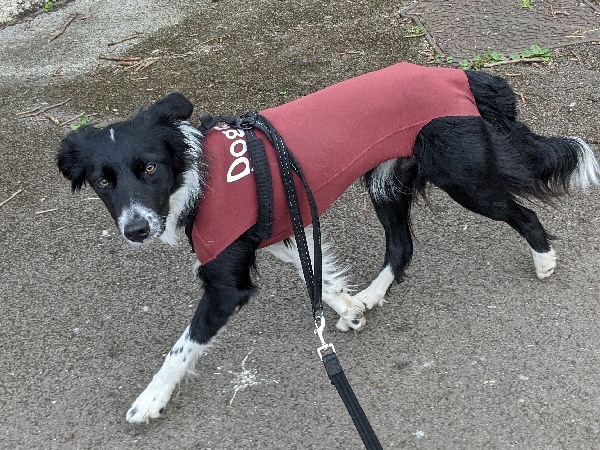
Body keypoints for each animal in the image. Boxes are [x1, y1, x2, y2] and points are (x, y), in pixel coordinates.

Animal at [56, 62, 600, 422]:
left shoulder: (226, 284)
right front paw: (347, 305)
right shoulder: (277, 229)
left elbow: (180, 349)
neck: (199, 176)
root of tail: (463, 76)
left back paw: (544, 259)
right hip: (386, 181)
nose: (135, 230)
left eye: (149, 167)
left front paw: (151, 400)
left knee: (523, 212)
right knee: (401, 247)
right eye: (103, 182)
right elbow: (311, 270)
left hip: (462, 177)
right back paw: (371, 295)